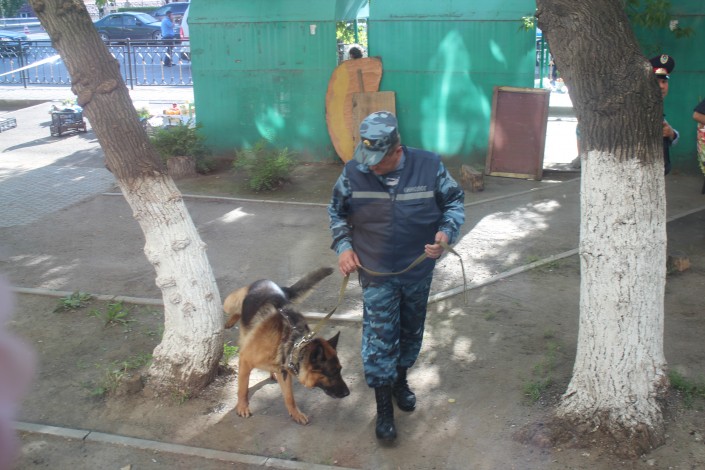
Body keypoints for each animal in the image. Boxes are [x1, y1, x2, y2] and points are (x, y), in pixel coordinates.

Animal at [223, 267, 349, 425]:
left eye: (340, 370)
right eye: (332, 373)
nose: (347, 393)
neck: (292, 343)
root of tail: (268, 282)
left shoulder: (285, 372)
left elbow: (289, 397)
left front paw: (296, 414)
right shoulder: (245, 361)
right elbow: (243, 388)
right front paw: (242, 406)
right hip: (229, 303)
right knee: (235, 310)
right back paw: (231, 320)